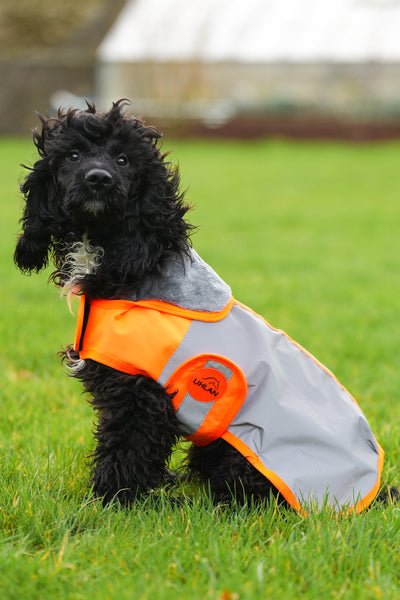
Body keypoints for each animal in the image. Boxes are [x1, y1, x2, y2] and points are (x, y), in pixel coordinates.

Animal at [15, 99, 390, 510]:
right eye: (73, 155)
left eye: (124, 159)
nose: (99, 178)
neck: (128, 263)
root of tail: (371, 493)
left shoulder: (140, 396)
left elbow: (125, 451)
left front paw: (111, 501)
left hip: (237, 450)